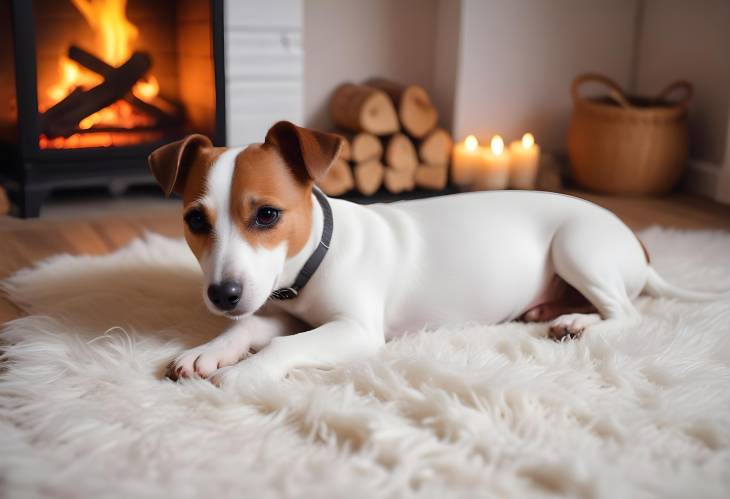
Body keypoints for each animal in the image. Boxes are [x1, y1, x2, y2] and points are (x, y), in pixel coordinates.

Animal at [149, 121, 716, 386]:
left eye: (267, 215)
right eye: (195, 221)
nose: (222, 294)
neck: (316, 256)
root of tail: (638, 246)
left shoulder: (355, 330)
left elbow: (284, 346)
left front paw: (243, 371)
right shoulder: (281, 310)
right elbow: (250, 327)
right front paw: (209, 351)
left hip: (578, 248)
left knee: (626, 313)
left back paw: (579, 323)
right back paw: (552, 312)